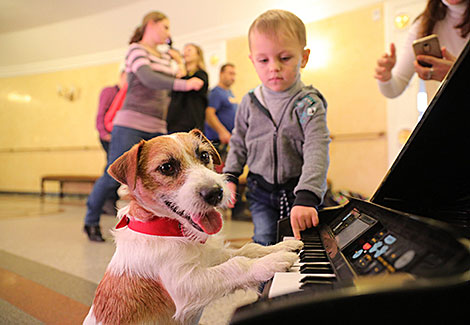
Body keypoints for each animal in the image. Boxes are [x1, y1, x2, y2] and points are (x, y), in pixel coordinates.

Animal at [82, 129, 302, 324]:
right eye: (167, 167)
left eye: (204, 155)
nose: (216, 193)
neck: (173, 232)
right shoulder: (185, 285)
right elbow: (236, 265)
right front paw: (271, 262)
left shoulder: (211, 258)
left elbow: (248, 249)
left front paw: (281, 247)